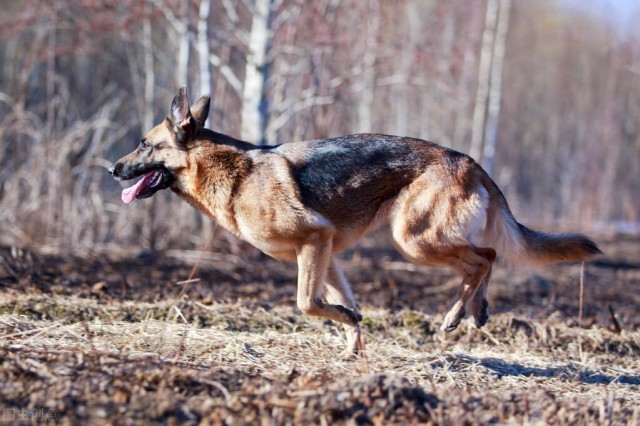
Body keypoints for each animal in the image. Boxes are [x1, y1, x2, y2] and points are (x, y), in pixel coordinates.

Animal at [107, 85, 604, 352]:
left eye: (144, 144)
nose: (112, 169)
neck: (231, 172)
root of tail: (469, 160)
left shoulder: (315, 240)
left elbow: (307, 304)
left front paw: (347, 325)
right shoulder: (326, 254)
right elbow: (341, 306)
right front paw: (353, 344)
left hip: (414, 240)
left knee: (485, 257)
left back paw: (456, 314)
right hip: (421, 240)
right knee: (485, 259)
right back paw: (477, 311)